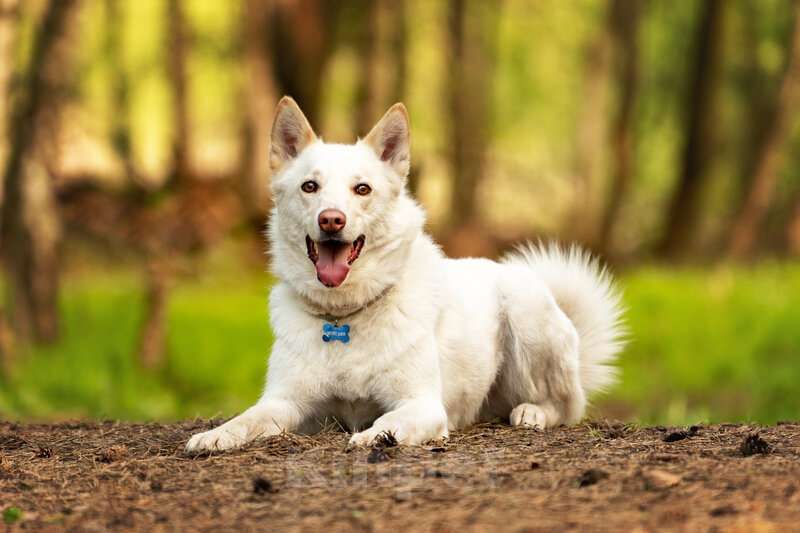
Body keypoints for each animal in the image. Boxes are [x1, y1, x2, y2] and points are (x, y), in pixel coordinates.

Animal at [188, 97, 624, 450]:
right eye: (309, 186)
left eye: (362, 189)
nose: (331, 220)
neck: (343, 317)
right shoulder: (286, 402)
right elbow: (248, 418)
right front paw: (215, 435)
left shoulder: (422, 405)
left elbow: (389, 419)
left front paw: (375, 436)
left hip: (527, 313)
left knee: (568, 405)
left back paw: (532, 413)